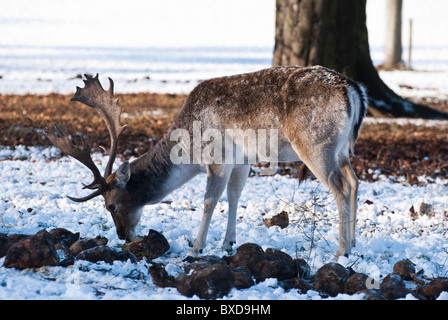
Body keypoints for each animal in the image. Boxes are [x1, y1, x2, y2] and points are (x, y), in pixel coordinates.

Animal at [44, 66, 368, 258]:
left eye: (110, 205)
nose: (123, 235)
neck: (189, 154)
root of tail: (353, 91)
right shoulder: (241, 160)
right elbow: (235, 196)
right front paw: (228, 243)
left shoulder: (217, 156)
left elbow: (210, 200)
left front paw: (196, 248)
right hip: (341, 149)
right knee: (355, 182)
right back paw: (354, 243)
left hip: (315, 144)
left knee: (340, 187)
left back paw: (341, 251)